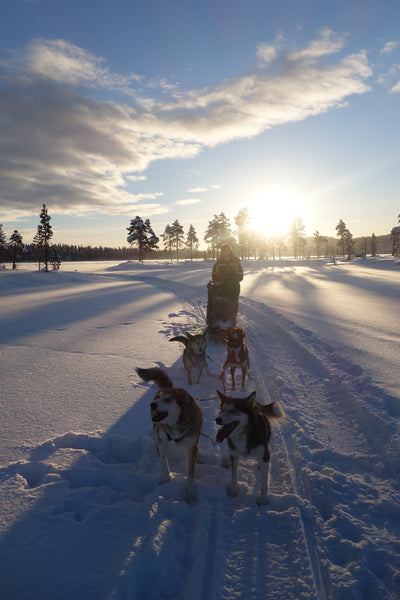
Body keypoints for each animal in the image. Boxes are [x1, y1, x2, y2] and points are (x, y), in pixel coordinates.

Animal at [136, 366, 203, 502]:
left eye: (168, 399)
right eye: (159, 398)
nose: (152, 404)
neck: (176, 424)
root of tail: (168, 385)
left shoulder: (191, 444)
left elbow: (191, 472)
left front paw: (190, 492)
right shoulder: (163, 439)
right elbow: (163, 461)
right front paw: (165, 478)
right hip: (156, 431)